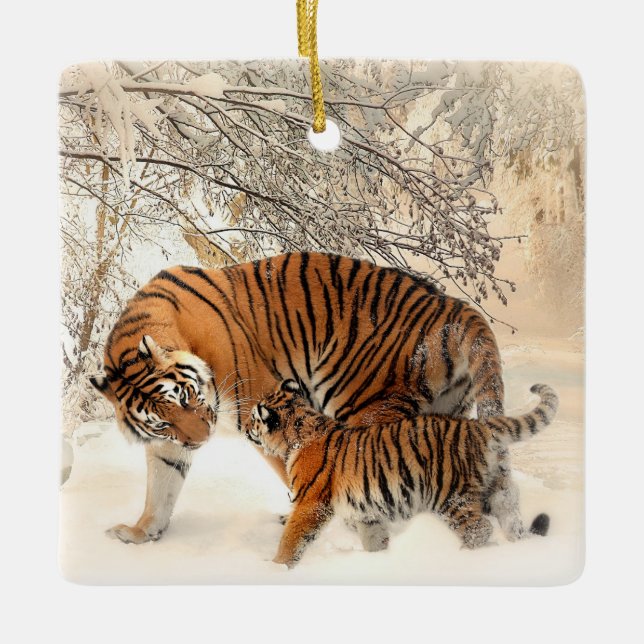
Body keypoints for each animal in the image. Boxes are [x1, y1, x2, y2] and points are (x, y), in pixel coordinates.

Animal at [90, 251, 509, 545]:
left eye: (188, 397)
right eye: (162, 421)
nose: (201, 440)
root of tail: (453, 306)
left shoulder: (261, 406)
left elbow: (294, 471)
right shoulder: (168, 444)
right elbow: (161, 487)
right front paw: (141, 533)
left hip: (363, 404)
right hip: (444, 414)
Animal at [245, 380, 558, 568]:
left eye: (253, 418)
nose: (246, 427)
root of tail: (478, 426)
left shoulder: (310, 503)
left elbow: (292, 538)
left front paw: (276, 567)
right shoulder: (367, 512)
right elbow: (374, 538)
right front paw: (380, 559)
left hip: (450, 496)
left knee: (479, 529)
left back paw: (461, 558)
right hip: (497, 489)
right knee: (510, 516)